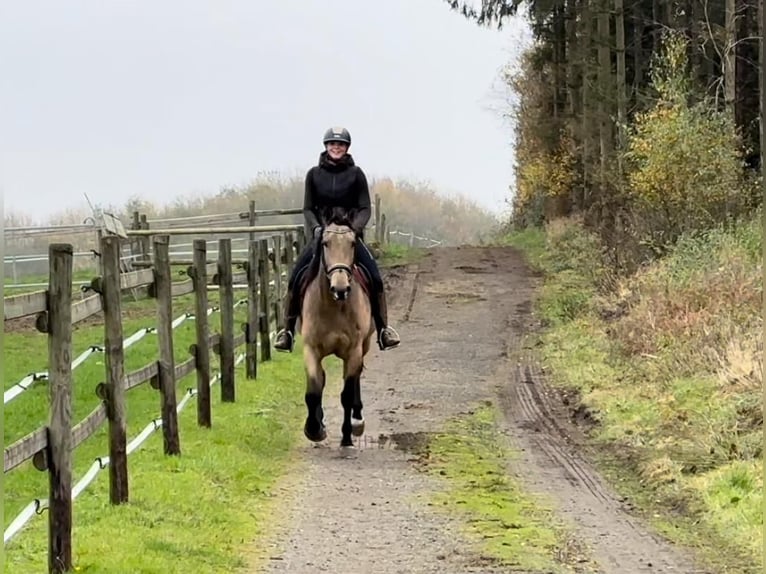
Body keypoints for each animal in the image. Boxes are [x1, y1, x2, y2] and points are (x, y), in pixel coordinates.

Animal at [298, 210, 376, 450]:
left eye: (352, 243)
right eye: (325, 243)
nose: (340, 288)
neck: (333, 305)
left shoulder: (353, 350)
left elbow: (347, 394)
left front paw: (347, 436)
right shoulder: (310, 349)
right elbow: (313, 391)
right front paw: (314, 429)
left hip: (363, 346)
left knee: (355, 378)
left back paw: (357, 421)